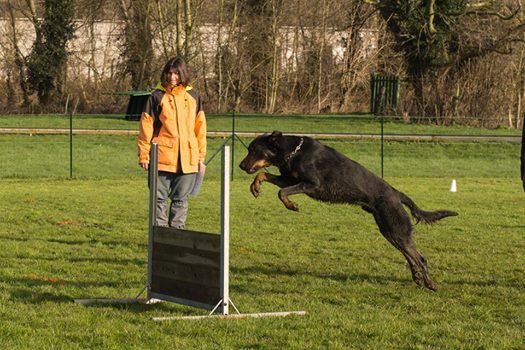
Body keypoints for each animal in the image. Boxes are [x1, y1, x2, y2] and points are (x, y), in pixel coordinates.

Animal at [239, 131, 456, 290]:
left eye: (253, 150)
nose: (240, 166)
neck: (293, 152)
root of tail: (397, 194)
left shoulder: (311, 184)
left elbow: (281, 192)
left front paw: (292, 205)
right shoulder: (289, 179)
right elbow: (263, 175)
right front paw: (255, 187)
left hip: (396, 229)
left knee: (420, 258)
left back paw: (430, 283)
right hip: (389, 231)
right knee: (410, 256)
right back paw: (418, 279)